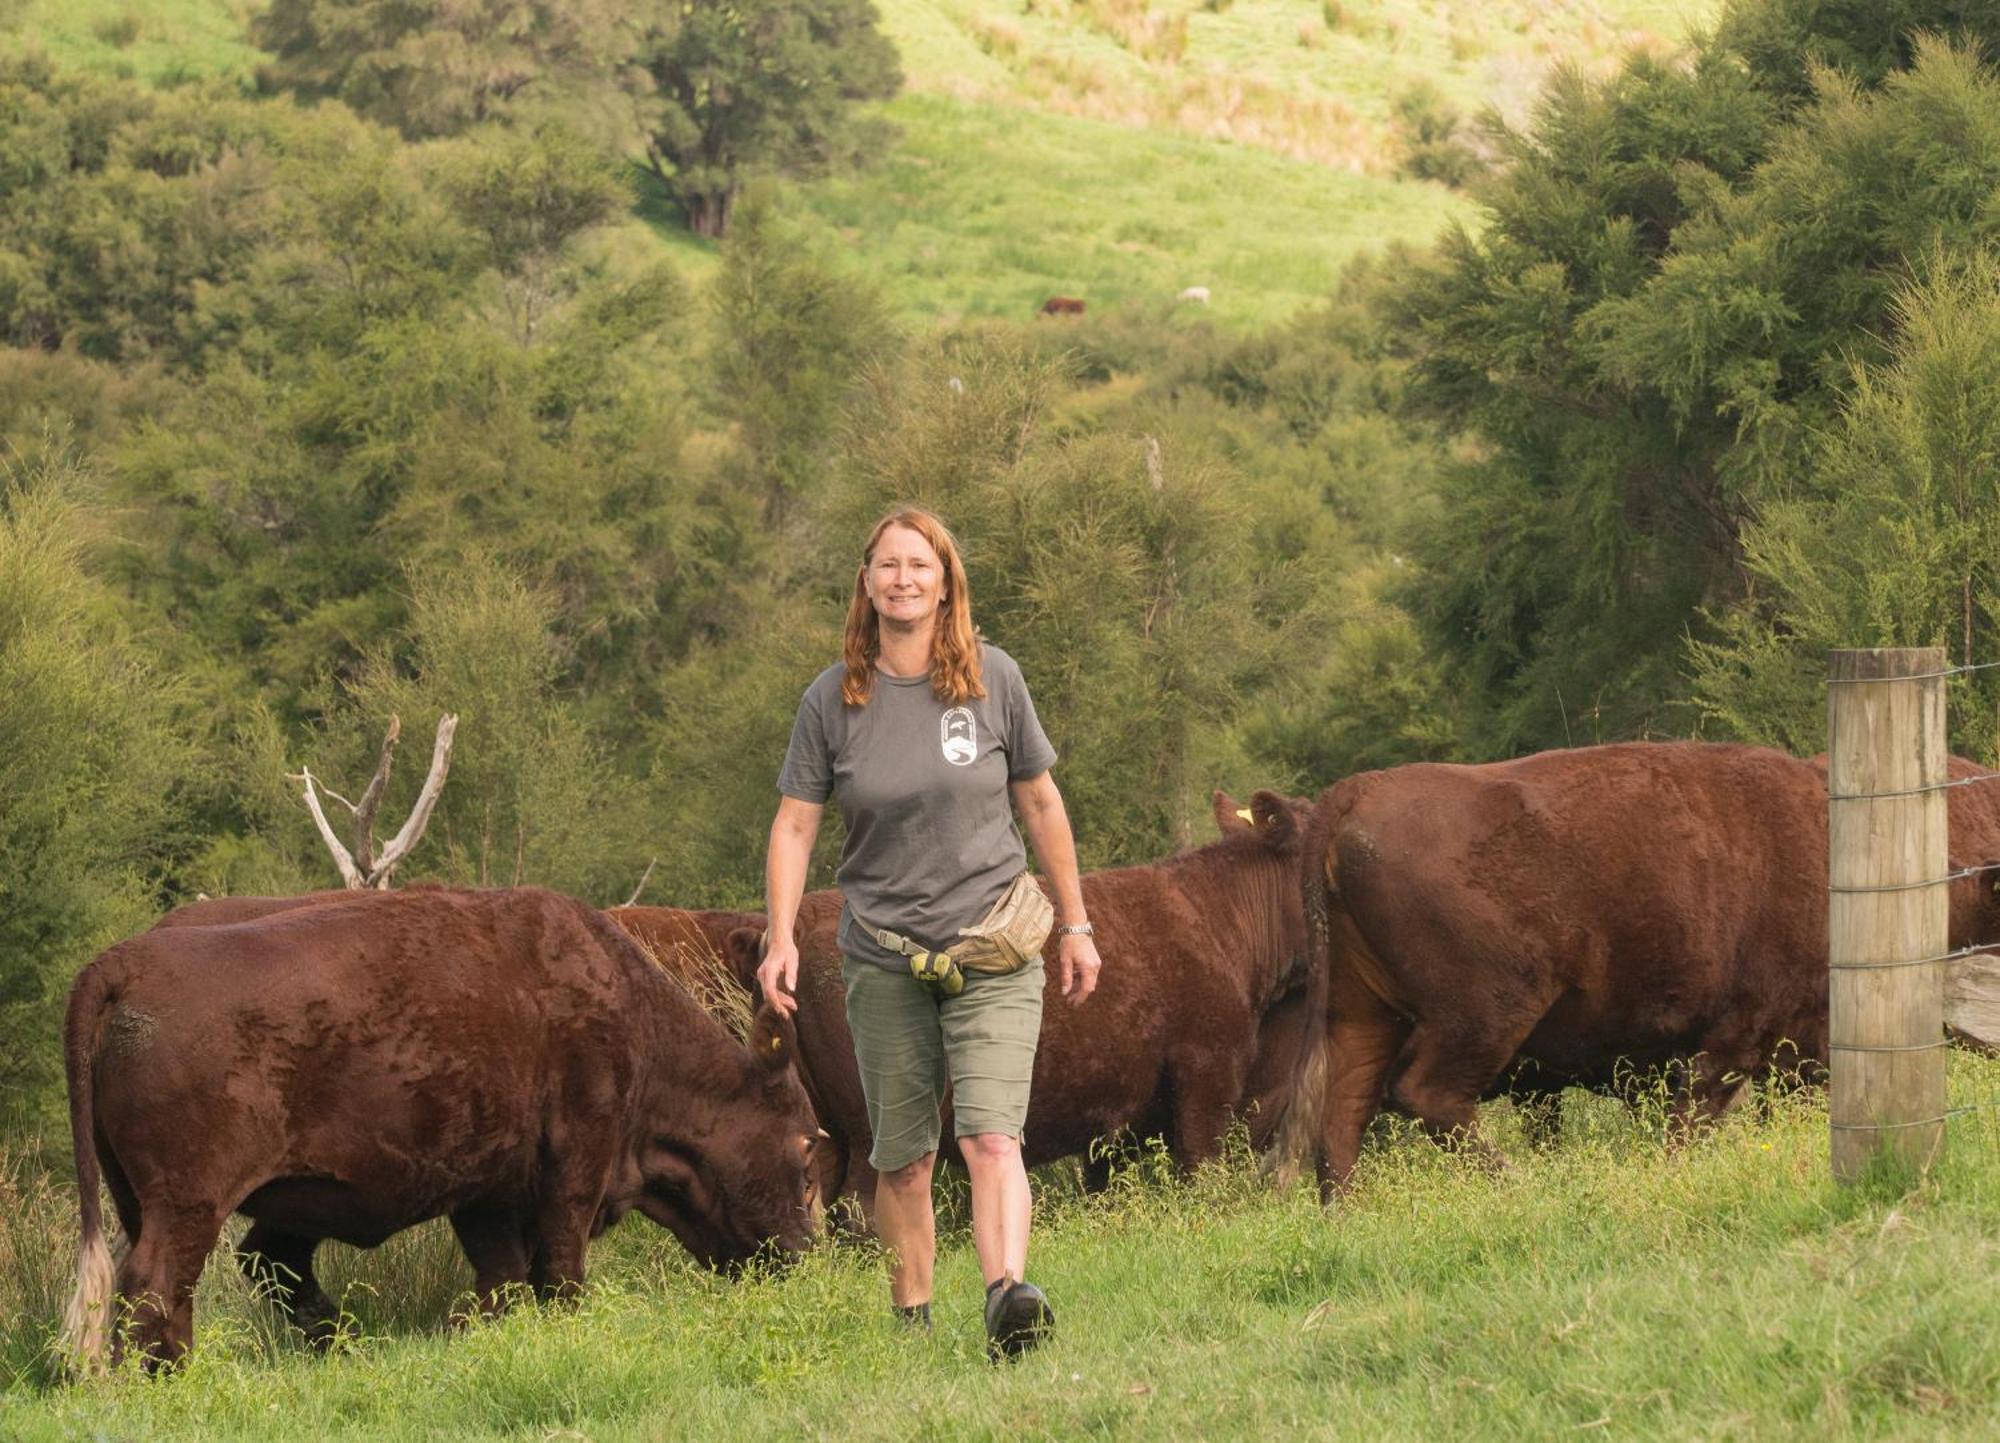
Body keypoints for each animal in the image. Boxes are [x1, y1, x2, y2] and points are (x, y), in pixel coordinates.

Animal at [62, 883, 816, 1367]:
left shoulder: (489, 1191)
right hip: (191, 1201)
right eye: (807, 1146)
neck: (626, 1008)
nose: (806, 1256)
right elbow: (561, 1266)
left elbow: (505, 1277)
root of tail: (120, 964)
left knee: (213, 1278)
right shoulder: (578, 1160)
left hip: (162, 1202)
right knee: (158, 1283)